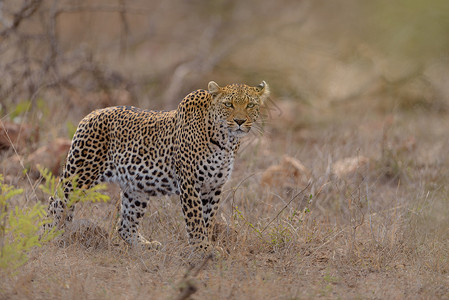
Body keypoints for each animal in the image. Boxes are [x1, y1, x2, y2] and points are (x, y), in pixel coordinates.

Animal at [45, 81, 268, 252]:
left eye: (250, 105)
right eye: (228, 104)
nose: (240, 121)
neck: (225, 141)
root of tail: (92, 113)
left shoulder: (213, 187)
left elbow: (208, 219)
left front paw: (208, 246)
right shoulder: (190, 183)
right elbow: (196, 219)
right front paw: (202, 250)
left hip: (136, 187)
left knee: (125, 225)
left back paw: (145, 246)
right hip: (80, 174)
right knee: (56, 202)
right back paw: (47, 235)